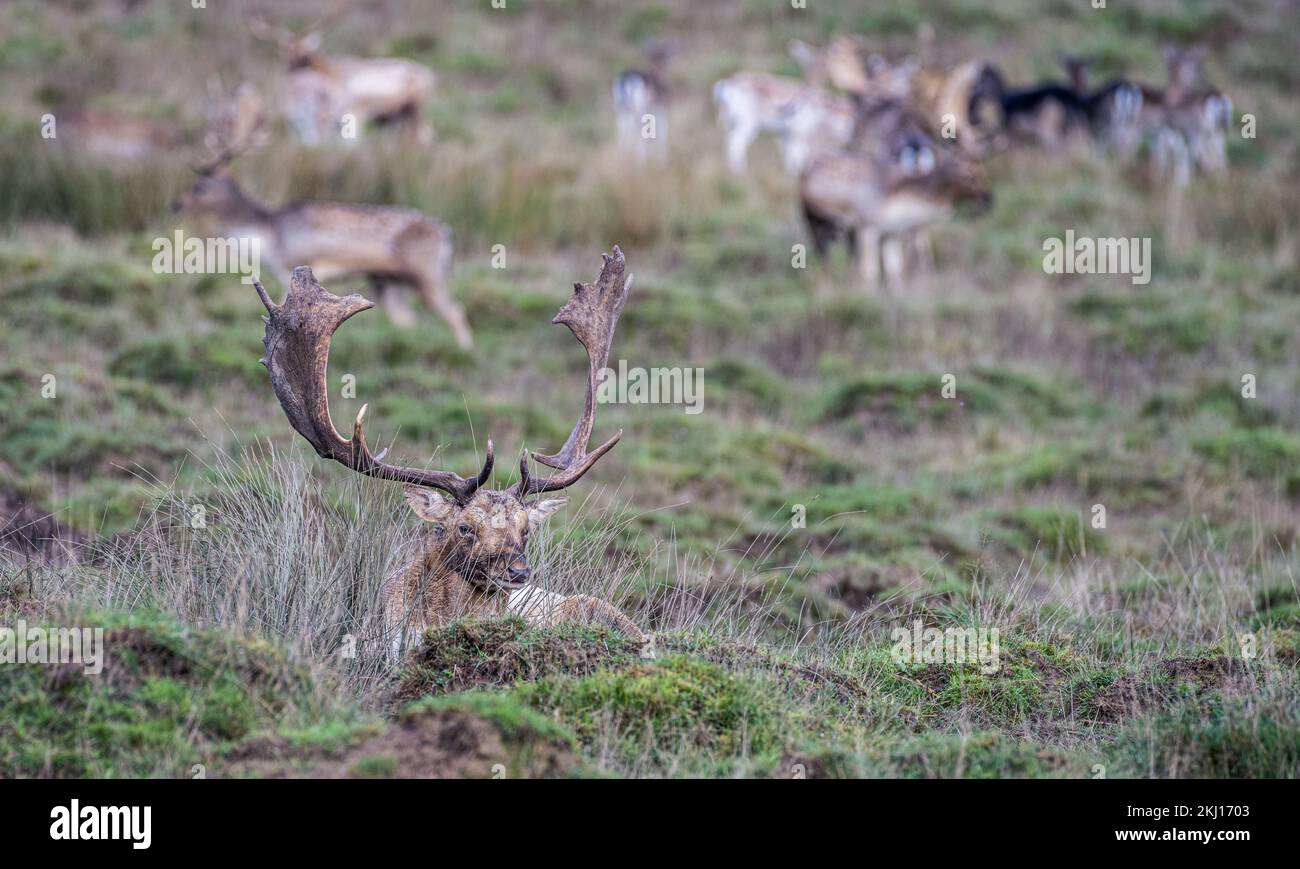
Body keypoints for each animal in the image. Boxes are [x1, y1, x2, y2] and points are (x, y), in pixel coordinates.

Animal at [174, 89, 471, 348]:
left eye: (199, 186)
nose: (174, 204)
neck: (269, 238)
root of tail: (445, 232)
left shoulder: (296, 266)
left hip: (426, 273)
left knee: (455, 311)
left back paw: (465, 351)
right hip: (386, 281)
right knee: (408, 319)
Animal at [250, 3, 435, 146]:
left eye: (306, 52)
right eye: (284, 49)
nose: (291, 66)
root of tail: (428, 76)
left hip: (402, 110)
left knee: (424, 135)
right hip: (399, 117)